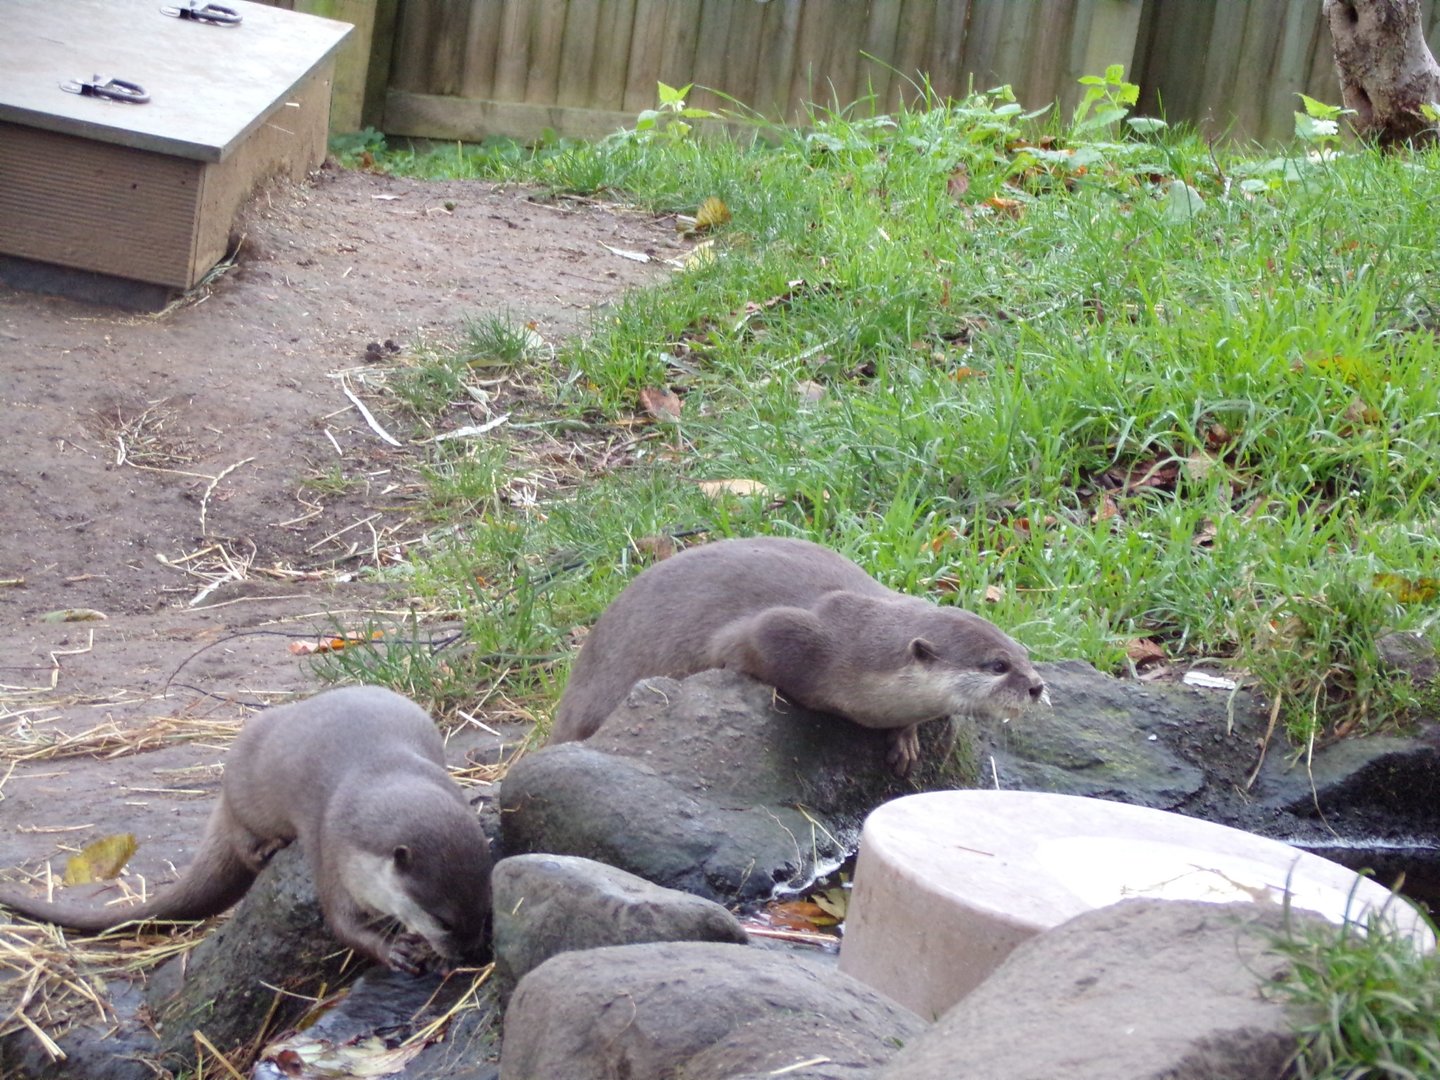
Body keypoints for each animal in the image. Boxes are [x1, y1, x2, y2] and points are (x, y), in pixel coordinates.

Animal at [0, 686, 492, 974]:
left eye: (485, 908)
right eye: (443, 920)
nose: (470, 950)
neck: (378, 771)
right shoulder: (331, 846)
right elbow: (341, 924)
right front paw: (392, 950)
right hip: (245, 792)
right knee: (240, 838)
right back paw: (267, 849)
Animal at [550, 536, 1047, 776]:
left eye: (1024, 655)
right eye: (998, 665)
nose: (1037, 686)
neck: (859, 656)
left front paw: (905, 740)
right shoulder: (786, 632)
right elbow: (735, 652)